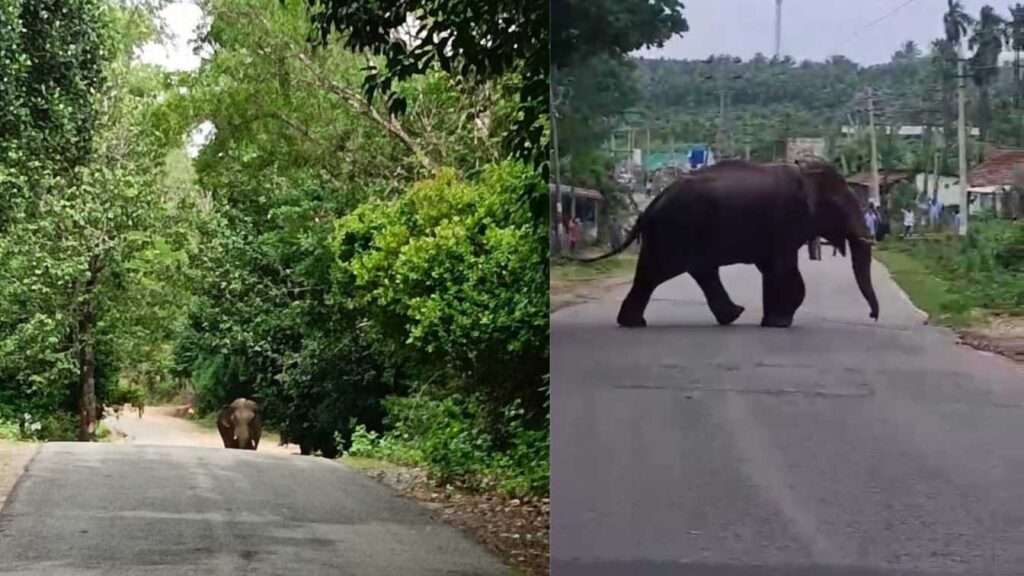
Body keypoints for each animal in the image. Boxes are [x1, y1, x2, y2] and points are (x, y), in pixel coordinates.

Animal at [579, 160, 879, 328]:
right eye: (843, 205)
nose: (872, 316)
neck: (806, 174)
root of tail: (650, 206)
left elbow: (773, 269)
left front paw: (773, 321)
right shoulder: (785, 220)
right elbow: (784, 270)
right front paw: (779, 323)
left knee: (689, 272)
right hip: (675, 232)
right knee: (657, 273)